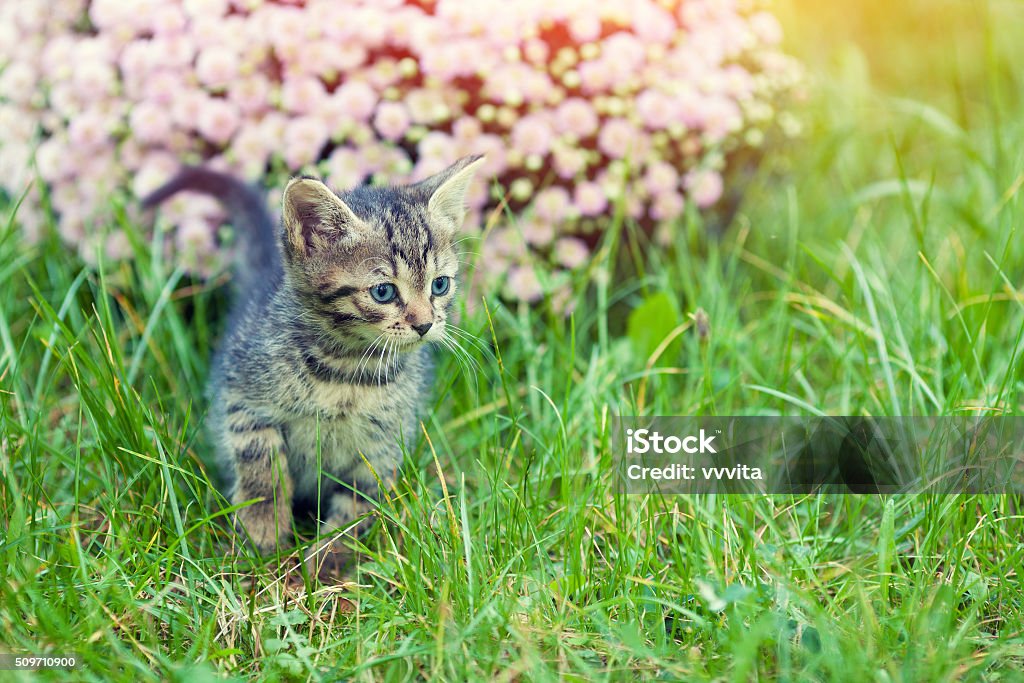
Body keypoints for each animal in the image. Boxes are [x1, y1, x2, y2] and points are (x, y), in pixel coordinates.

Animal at [142, 157, 485, 581]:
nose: (425, 324)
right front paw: (261, 530)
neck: (347, 372)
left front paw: (327, 559)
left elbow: (357, 505)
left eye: (440, 285)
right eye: (383, 292)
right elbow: (261, 467)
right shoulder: (243, 400)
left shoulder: (383, 446)